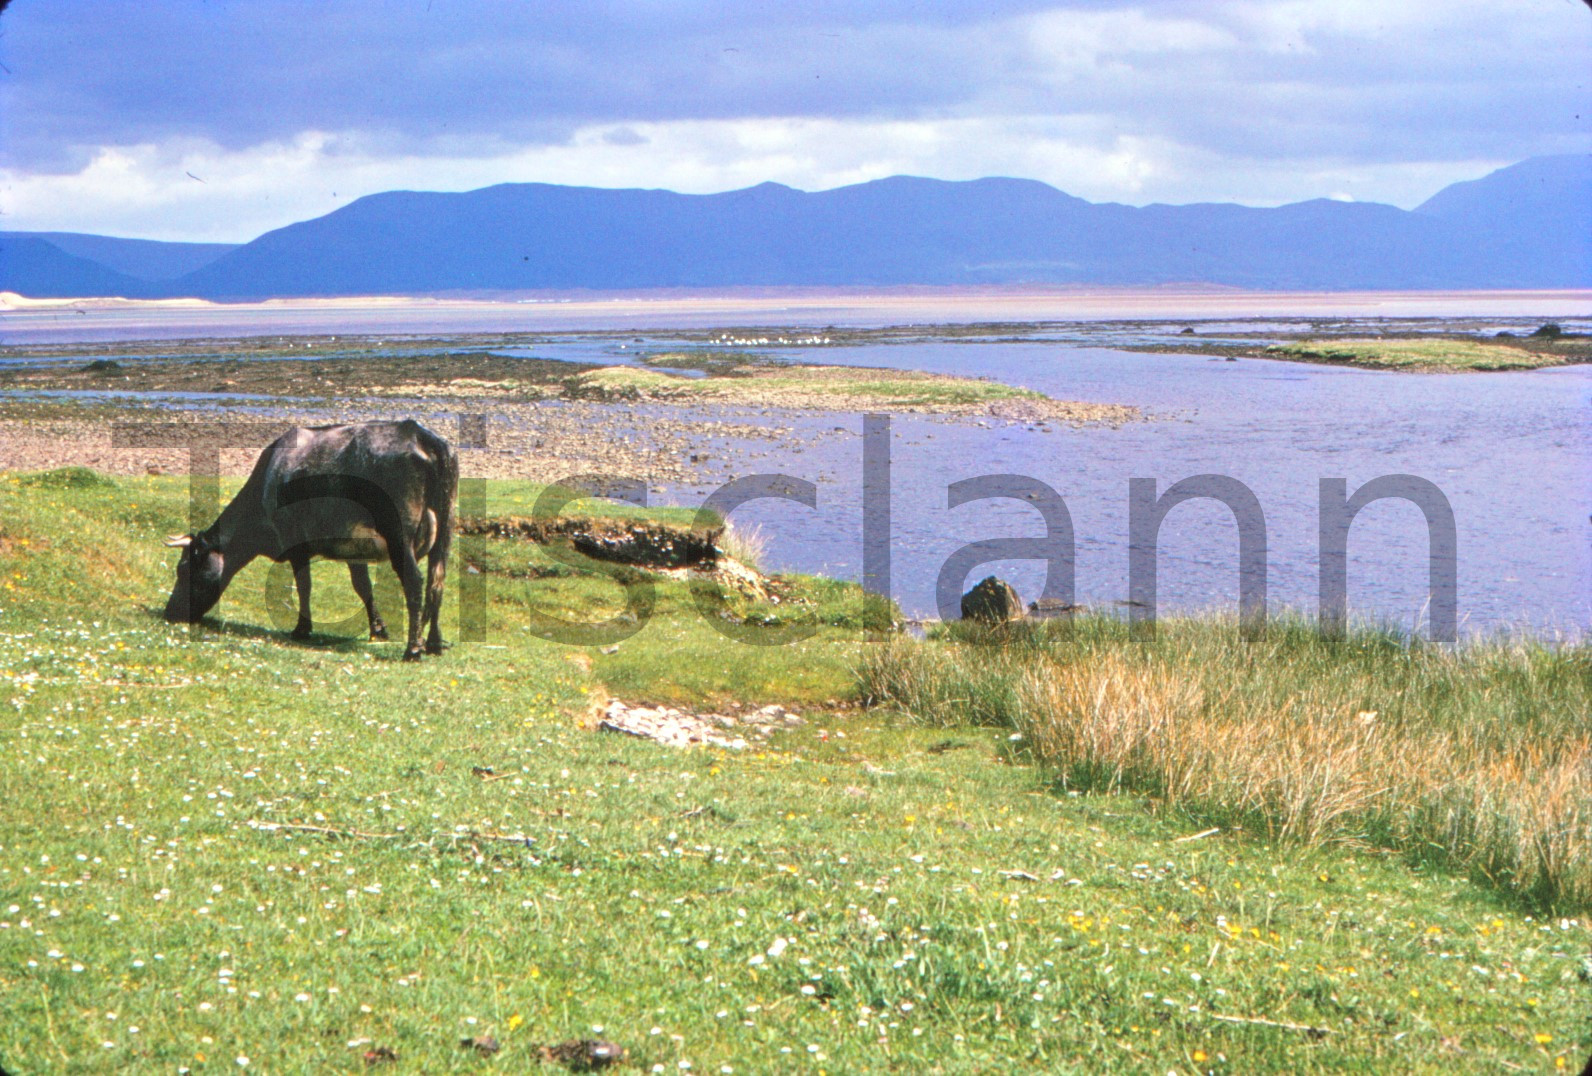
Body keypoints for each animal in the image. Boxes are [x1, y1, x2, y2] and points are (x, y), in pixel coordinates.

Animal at [162, 417, 458, 655]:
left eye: (184, 568)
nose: (170, 612)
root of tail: (418, 433)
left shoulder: (296, 544)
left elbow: (304, 585)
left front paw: (302, 628)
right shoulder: (354, 545)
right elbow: (362, 586)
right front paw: (378, 629)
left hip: (399, 534)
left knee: (415, 582)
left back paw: (414, 649)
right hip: (445, 531)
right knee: (437, 580)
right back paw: (434, 643)